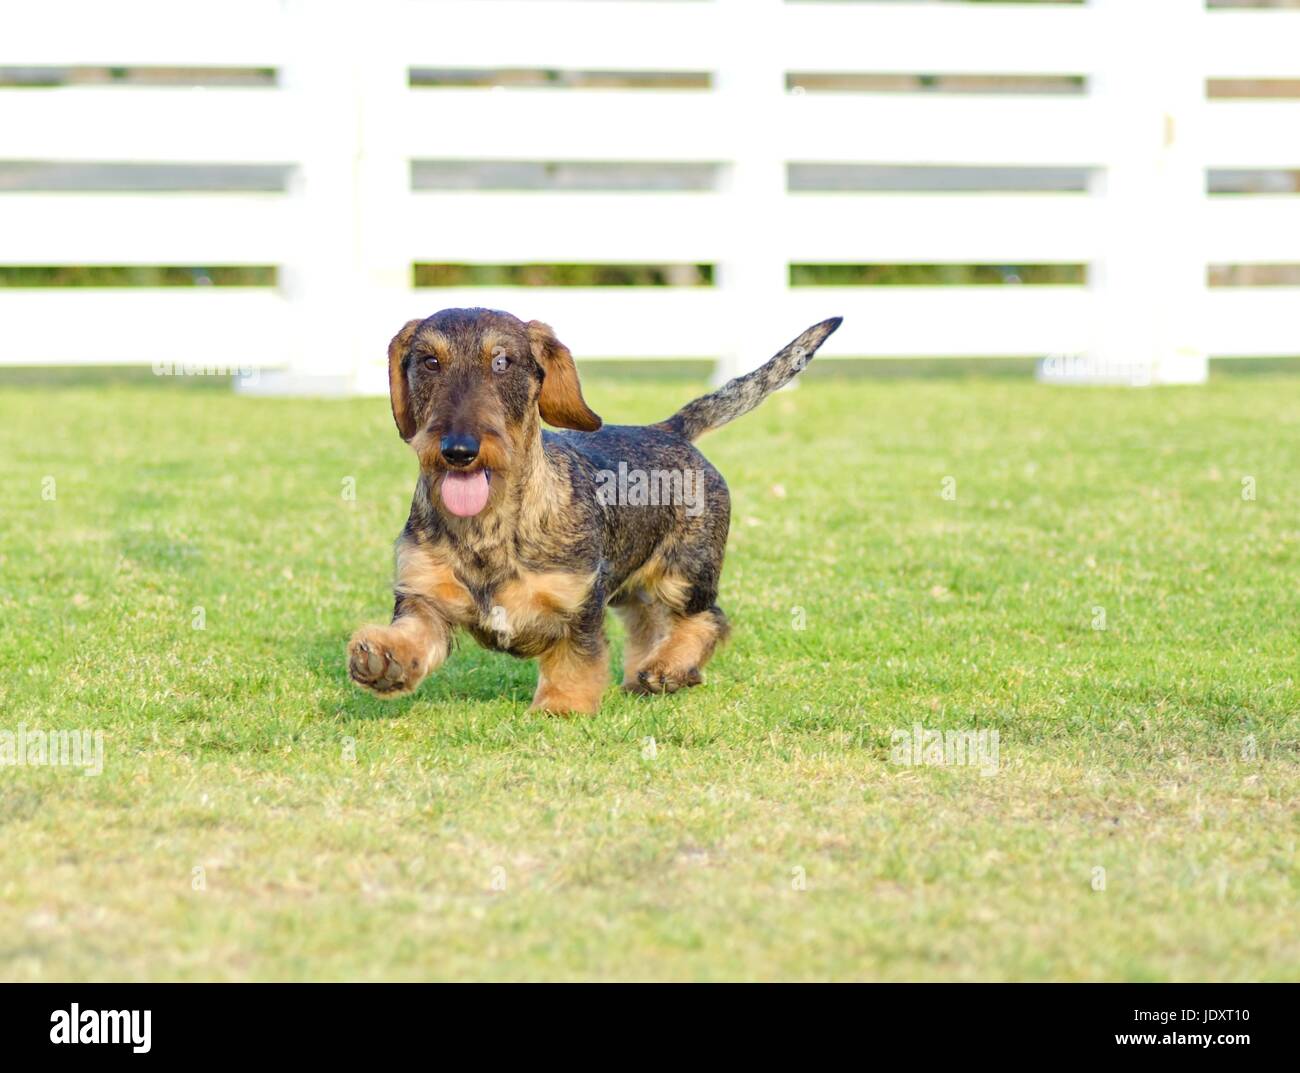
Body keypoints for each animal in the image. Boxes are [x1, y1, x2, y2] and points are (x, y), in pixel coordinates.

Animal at [348, 308, 842, 712]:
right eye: (430, 362)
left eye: (501, 362)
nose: (458, 451)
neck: (490, 526)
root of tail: (670, 430)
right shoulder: (423, 597)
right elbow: (414, 635)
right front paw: (384, 660)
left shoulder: (580, 604)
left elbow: (576, 660)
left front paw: (561, 706)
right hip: (633, 587)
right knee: (649, 625)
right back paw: (650, 673)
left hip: (684, 572)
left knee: (707, 619)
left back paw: (668, 667)